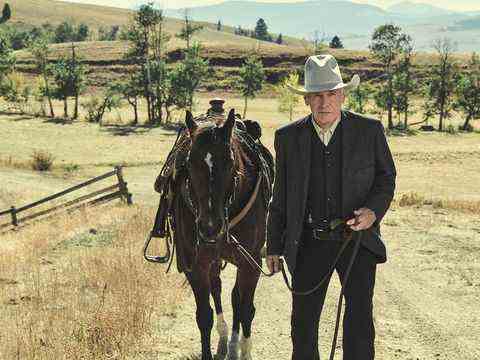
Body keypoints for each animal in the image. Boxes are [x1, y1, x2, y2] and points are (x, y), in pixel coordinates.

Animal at [171, 109, 272, 360]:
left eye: (230, 161)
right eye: (189, 162)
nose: (210, 227)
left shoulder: (251, 262)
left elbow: (246, 309)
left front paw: (245, 350)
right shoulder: (196, 265)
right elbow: (204, 316)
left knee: (236, 299)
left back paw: (234, 343)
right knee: (217, 289)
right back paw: (225, 337)